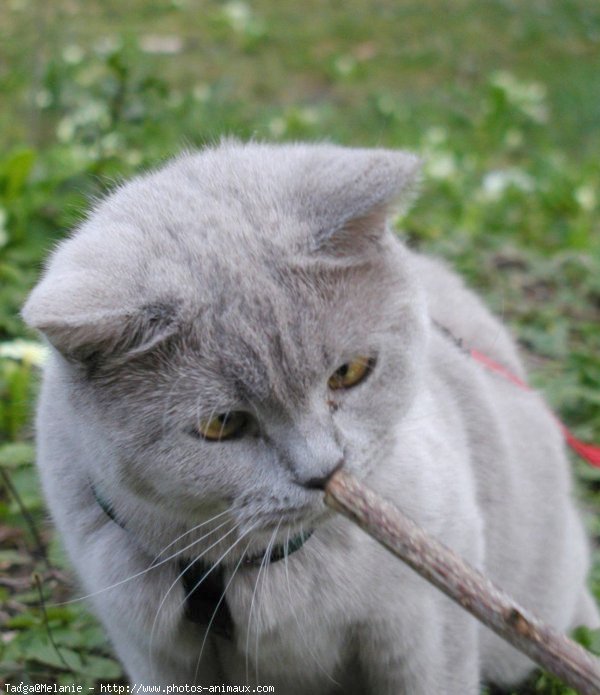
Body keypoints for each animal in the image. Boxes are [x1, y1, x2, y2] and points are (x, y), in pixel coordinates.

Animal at [22, 143, 596, 695]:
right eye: (222, 425)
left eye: (349, 372)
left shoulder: (429, 626)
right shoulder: (152, 650)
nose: (325, 471)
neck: (254, 568)